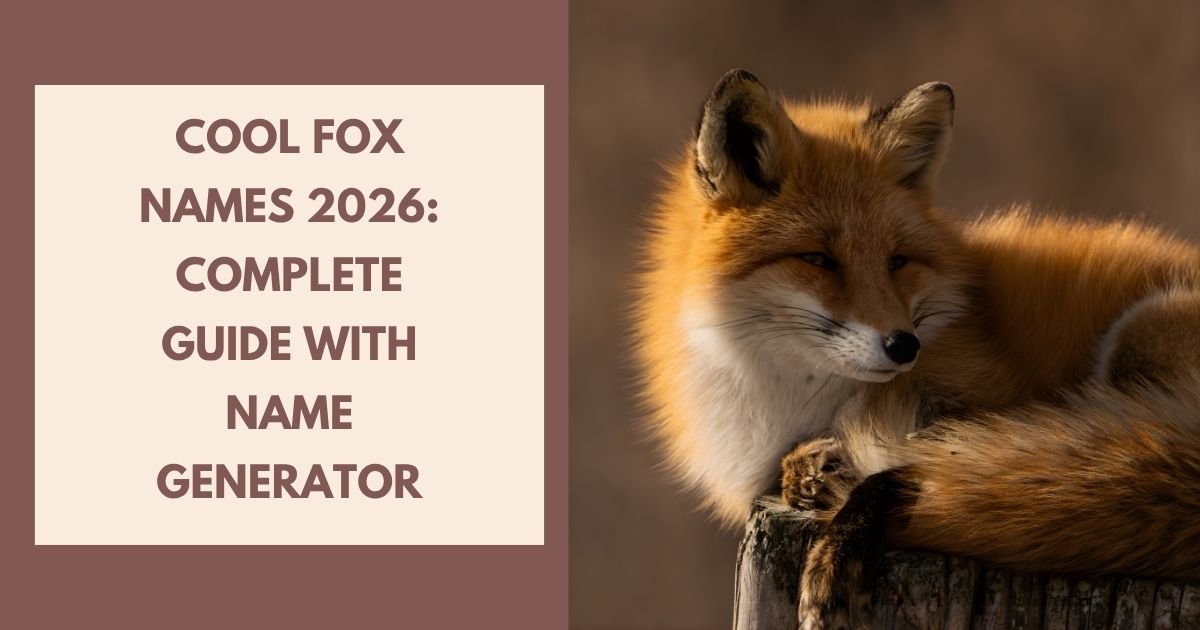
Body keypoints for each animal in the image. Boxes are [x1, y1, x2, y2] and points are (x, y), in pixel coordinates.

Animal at [632, 68, 1200, 627]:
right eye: (818, 259)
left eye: (897, 260)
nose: (904, 345)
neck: (792, 400)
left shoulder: (981, 399)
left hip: (1137, 337)